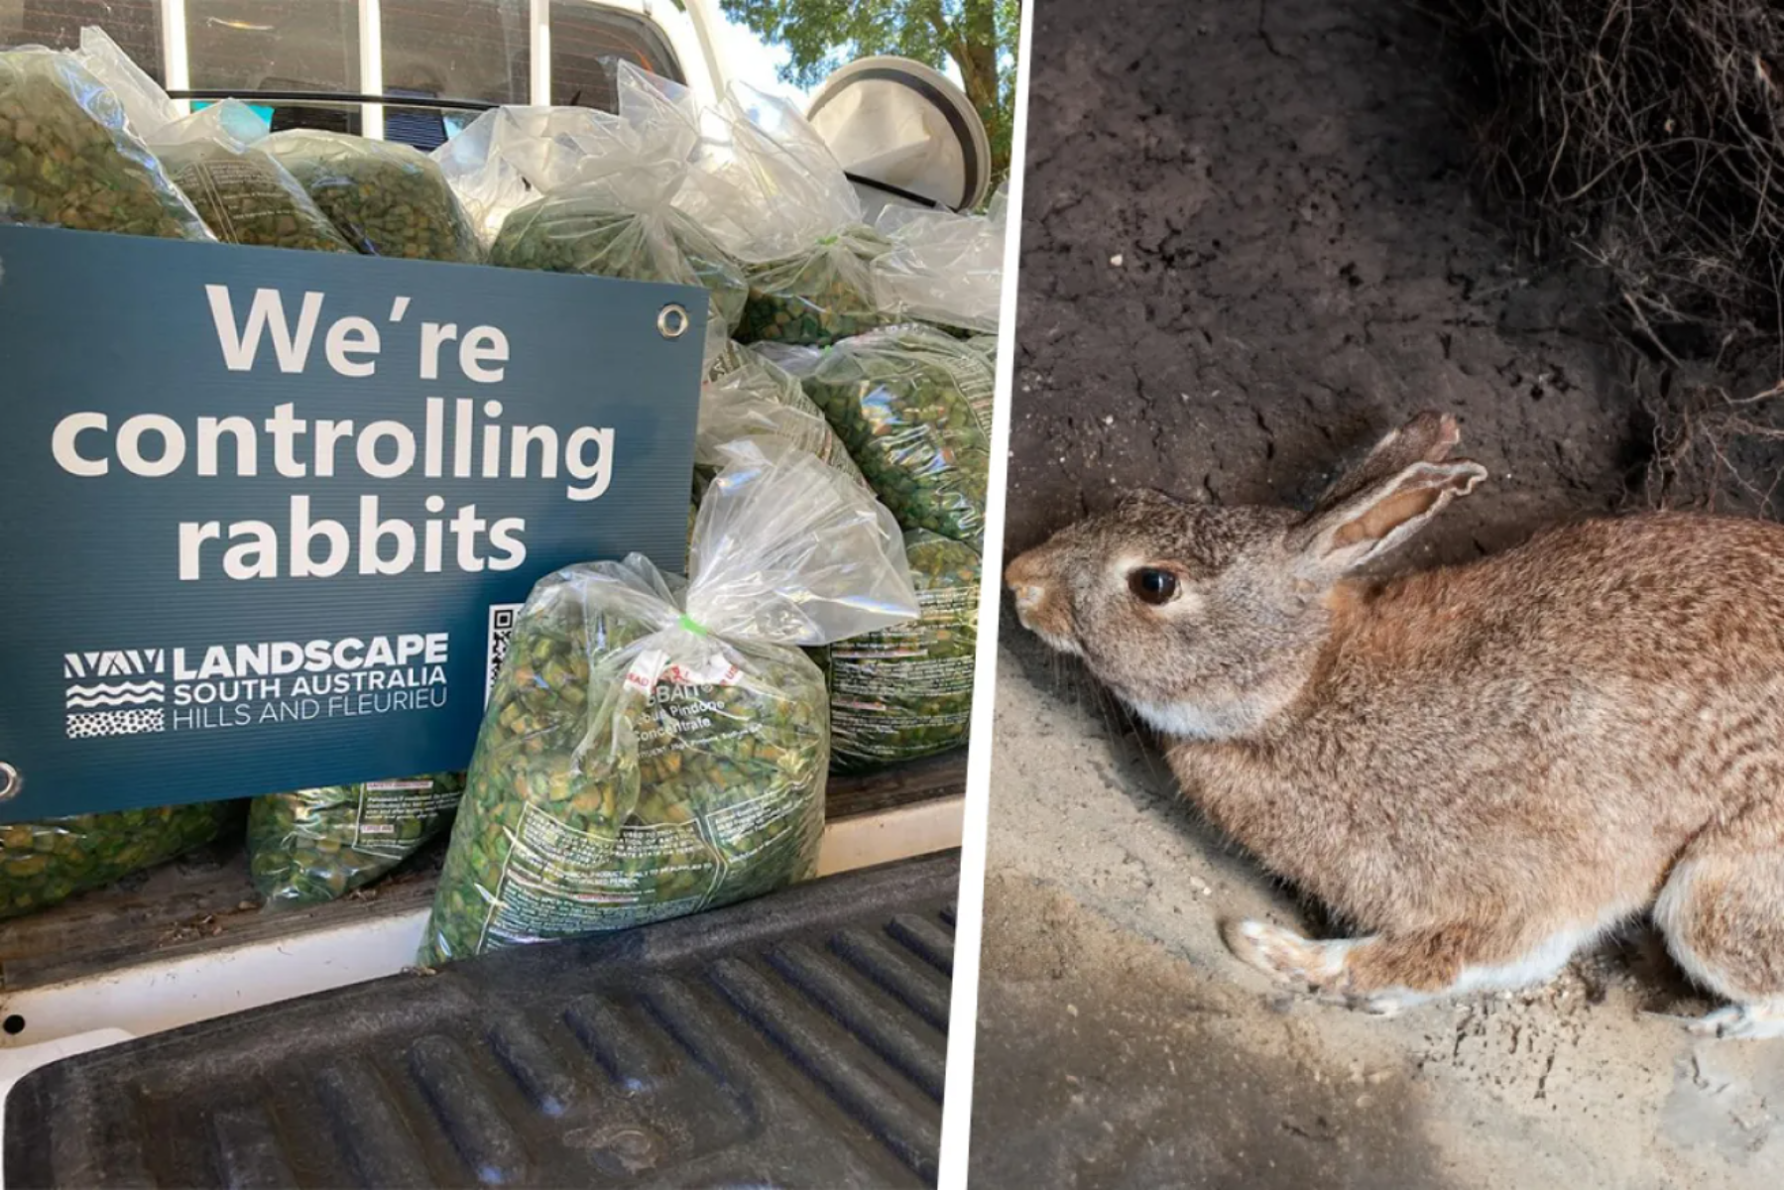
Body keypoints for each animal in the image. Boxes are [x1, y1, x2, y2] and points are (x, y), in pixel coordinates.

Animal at [1013, 412, 1777, 1041]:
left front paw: (1276, 952)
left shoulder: (1525, 888)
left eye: (1154, 584)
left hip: (1710, 901)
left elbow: (1459, 957)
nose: (1021, 581)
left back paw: (1708, 1024)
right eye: (1136, 499)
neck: (1301, 689)